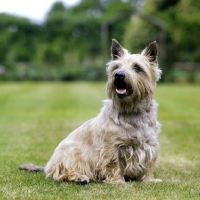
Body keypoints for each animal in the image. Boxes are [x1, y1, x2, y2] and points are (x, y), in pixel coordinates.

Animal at [18, 38, 162, 185]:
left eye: (137, 68)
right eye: (116, 67)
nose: (118, 75)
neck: (132, 110)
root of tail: (47, 165)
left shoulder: (150, 144)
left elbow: (149, 163)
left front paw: (149, 179)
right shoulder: (111, 146)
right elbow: (114, 163)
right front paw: (118, 181)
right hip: (71, 154)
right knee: (61, 173)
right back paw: (80, 178)